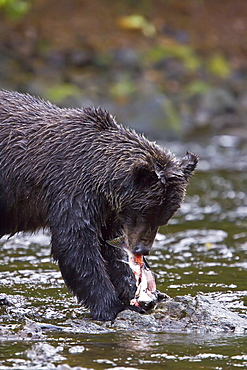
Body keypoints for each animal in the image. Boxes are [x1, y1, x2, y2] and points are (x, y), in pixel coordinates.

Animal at [0, 90, 198, 320]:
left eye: (163, 218)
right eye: (143, 212)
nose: (142, 249)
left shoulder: (108, 211)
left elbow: (110, 248)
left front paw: (141, 293)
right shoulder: (71, 191)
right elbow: (75, 245)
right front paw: (111, 305)